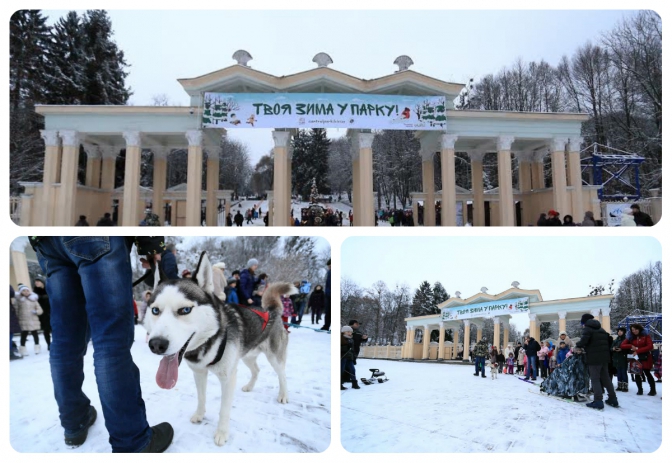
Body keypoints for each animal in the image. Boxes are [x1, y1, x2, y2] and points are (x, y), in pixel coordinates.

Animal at [144, 254, 294, 446]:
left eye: (185, 310)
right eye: (155, 310)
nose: (156, 344)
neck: (211, 341)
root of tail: (272, 311)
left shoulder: (228, 377)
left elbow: (224, 409)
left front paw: (222, 433)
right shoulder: (199, 373)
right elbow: (201, 397)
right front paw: (199, 415)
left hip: (274, 358)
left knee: (282, 375)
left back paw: (283, 395)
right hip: (247, 357)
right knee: (256, 370)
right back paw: (249, 386)